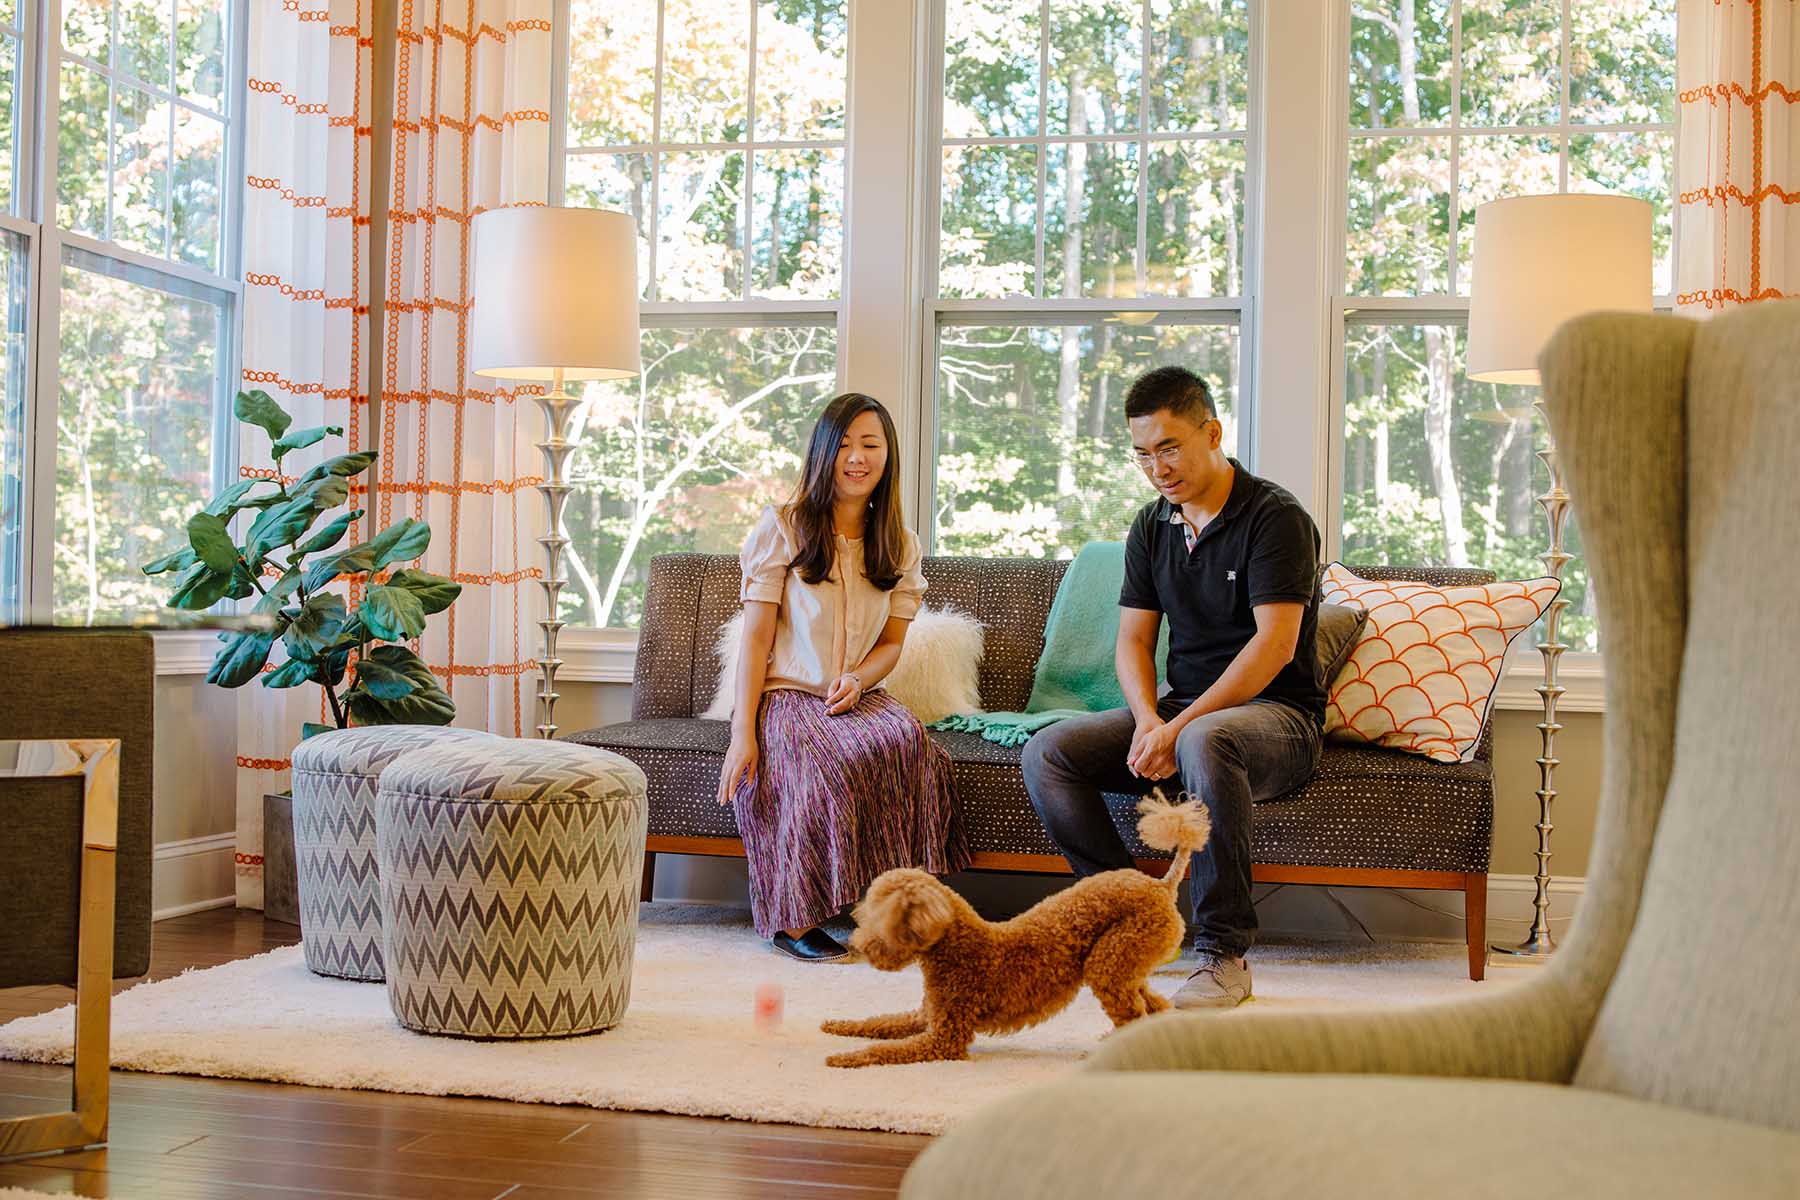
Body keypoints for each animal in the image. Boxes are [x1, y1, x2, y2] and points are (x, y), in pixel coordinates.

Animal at [820, 791, 1209, 1065]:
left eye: (881, 918)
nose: (860, 945)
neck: (956, 947)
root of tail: (1162, 885)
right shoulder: (923, 1016)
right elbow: (878, 1022)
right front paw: (835, 1026)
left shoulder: (944, 1037)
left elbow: (882, 1051)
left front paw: (841, 1057)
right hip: (1125, 963)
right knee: (1155, 1006)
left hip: (1109, 963)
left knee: (1134, 1015)